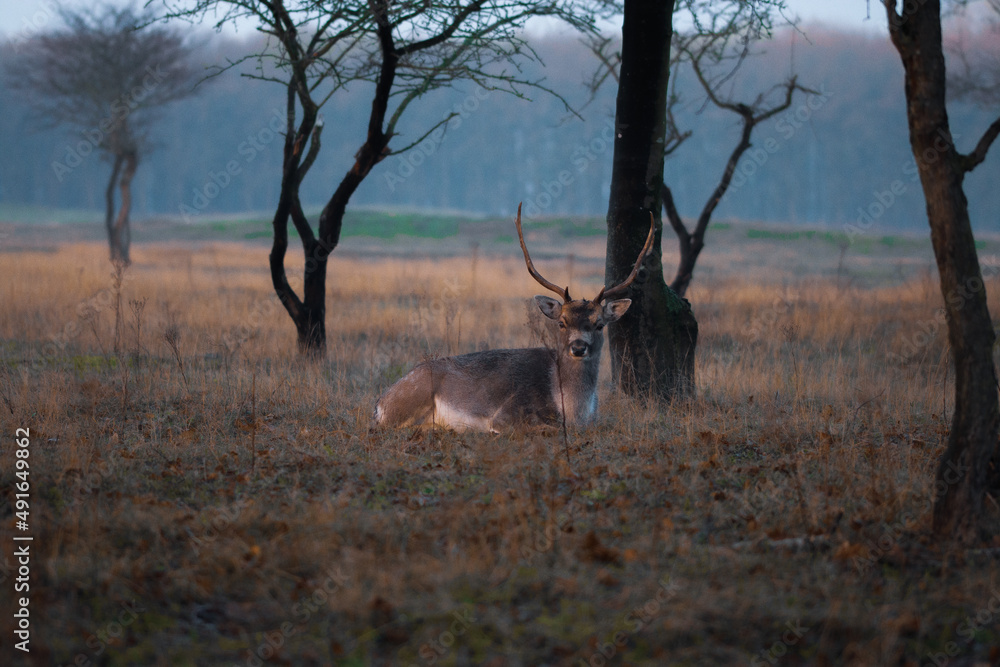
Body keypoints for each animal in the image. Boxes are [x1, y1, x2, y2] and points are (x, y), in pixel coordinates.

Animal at [373, 204, 655, 432]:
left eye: (599, 324)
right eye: (562, 322)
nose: (578, 347)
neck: (575, 412)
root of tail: (380, 403)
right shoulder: (506, 415)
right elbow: (543, 428)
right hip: (410, 403)